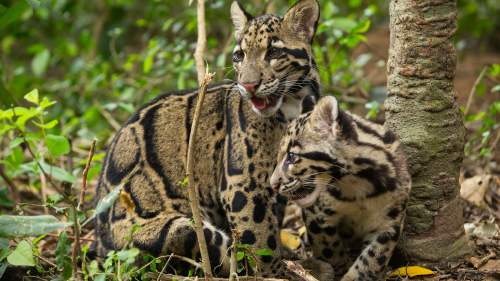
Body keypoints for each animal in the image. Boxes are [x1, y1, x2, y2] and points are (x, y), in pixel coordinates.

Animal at [94, 0, 320, 276]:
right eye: (239, 56)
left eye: (274, 53)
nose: (248, 85)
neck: (293, 104)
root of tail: (101, 246)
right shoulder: (242, 183)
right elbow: (259, 240)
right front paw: (273, 274)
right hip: (176, 230)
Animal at [272, 95, 412, 278]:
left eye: (291, 156)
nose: (273, 184)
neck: (358, 185)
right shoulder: (318, 216)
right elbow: (328, 247)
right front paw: (339, 267)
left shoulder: (389, 223)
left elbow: (373, 258)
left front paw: (355, 275)